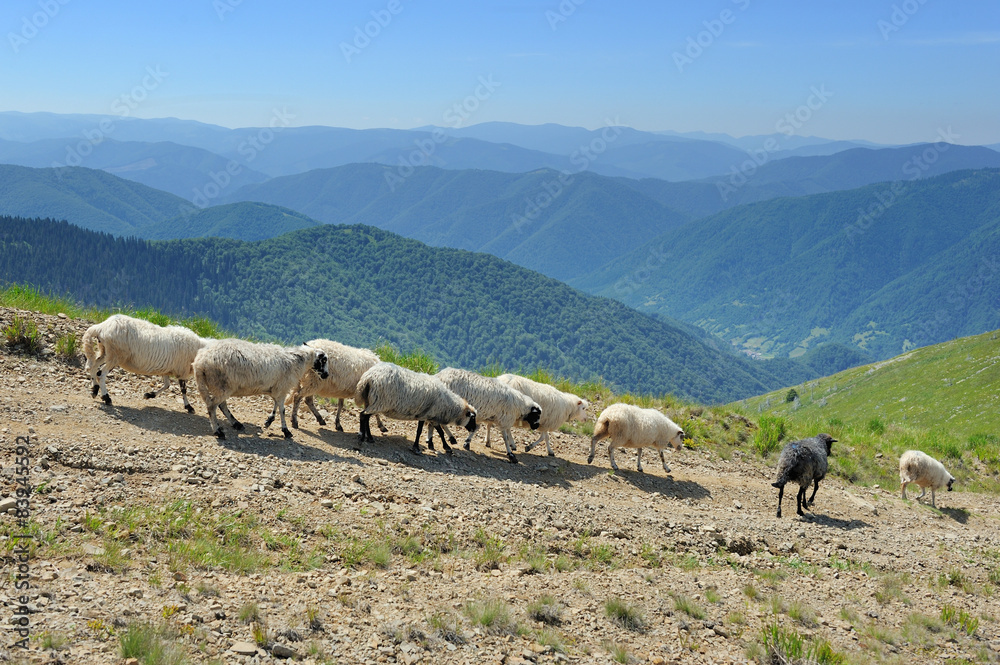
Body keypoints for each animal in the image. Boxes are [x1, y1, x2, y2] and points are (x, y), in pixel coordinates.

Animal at [192, 339, 329, 440]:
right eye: (324, 360)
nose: (326, 375)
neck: (297, 360)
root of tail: (200, 362)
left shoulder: (276, 388)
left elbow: (276, 405)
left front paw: (269, 420)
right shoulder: (282, 387)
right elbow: (282, 410)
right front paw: (286, 431)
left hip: (221, 386)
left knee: (221, 405)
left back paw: (236, 424)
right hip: (221, 384)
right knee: (212, 406)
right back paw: (218, 431)